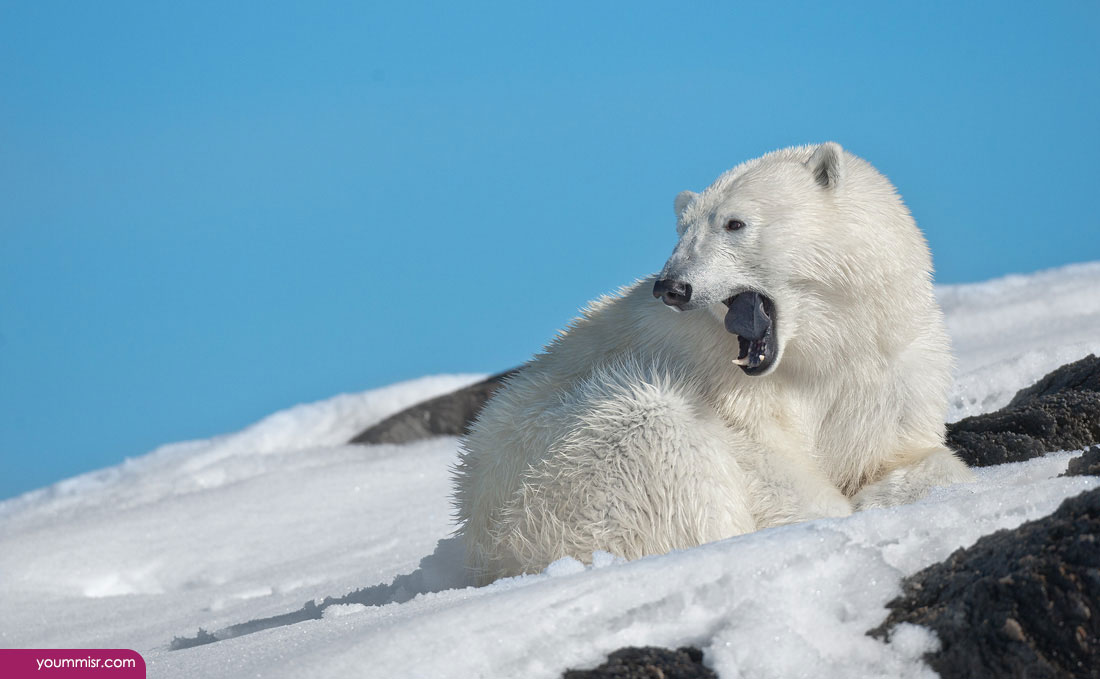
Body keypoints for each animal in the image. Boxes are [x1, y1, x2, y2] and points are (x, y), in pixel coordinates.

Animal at [452, 143, 974, 585]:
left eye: (734, 223)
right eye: (682, 229)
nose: (671, 286)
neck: (823, 346)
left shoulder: (892, 370)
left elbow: (904, 453)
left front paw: (889, 492)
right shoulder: (711, 373)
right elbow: (763, 461)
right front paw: (833, 511)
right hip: (560, 475)